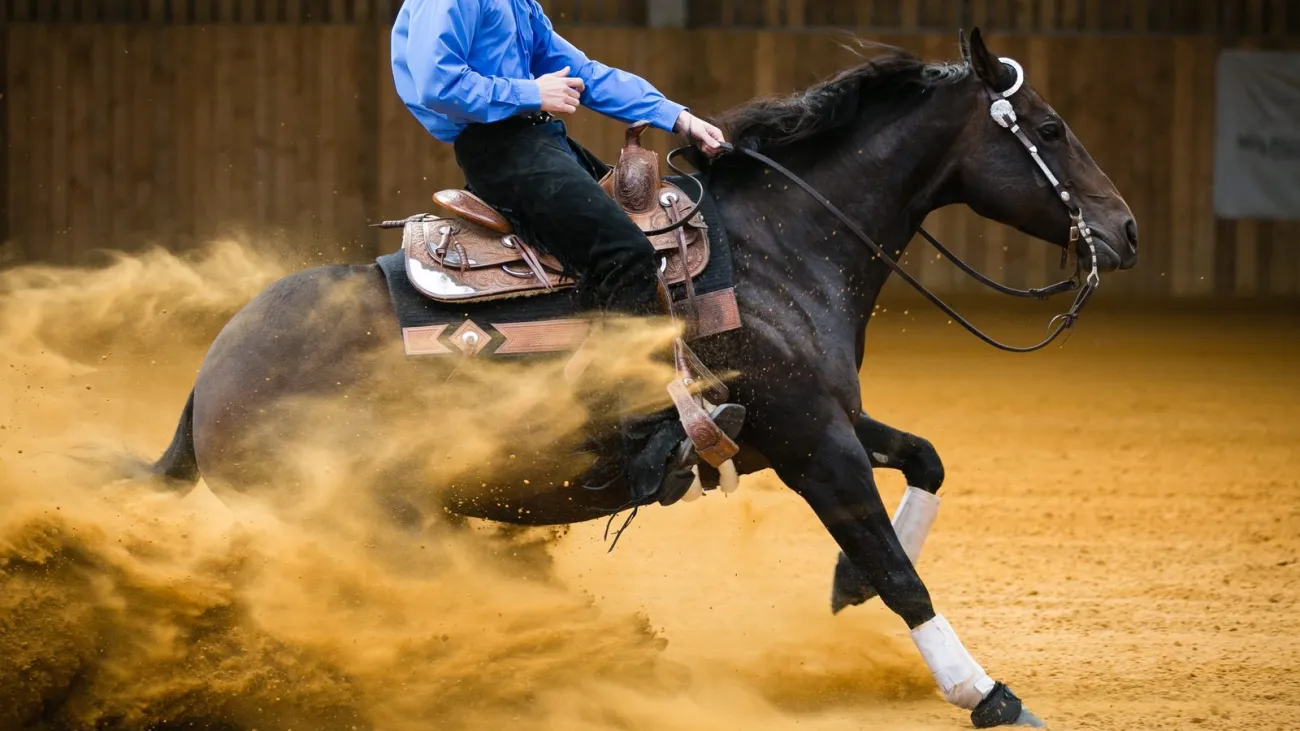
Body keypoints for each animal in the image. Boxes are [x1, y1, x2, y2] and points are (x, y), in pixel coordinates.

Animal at [137, 30, 1136, 728]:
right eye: (1050, 129)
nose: (1124, 230)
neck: (775, 247)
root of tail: (211, 375)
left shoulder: (813, 421)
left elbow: (925, 461)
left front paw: (845, 581)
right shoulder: (813, 440)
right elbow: (902, 576)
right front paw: (986, 691)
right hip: (376, 525)